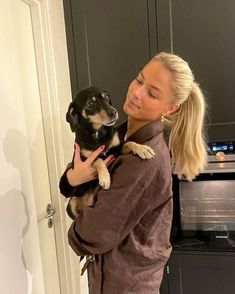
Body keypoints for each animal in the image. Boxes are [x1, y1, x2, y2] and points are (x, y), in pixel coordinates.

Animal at [65, 86, 155, 219]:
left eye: (106, 97)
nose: (114, 112)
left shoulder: (116, 150)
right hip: (72, 202)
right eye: (90, 103)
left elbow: (129, 142)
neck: (98, 133)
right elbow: (98, 159)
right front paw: (105, 178)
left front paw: (143, 149)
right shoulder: (84, 160)